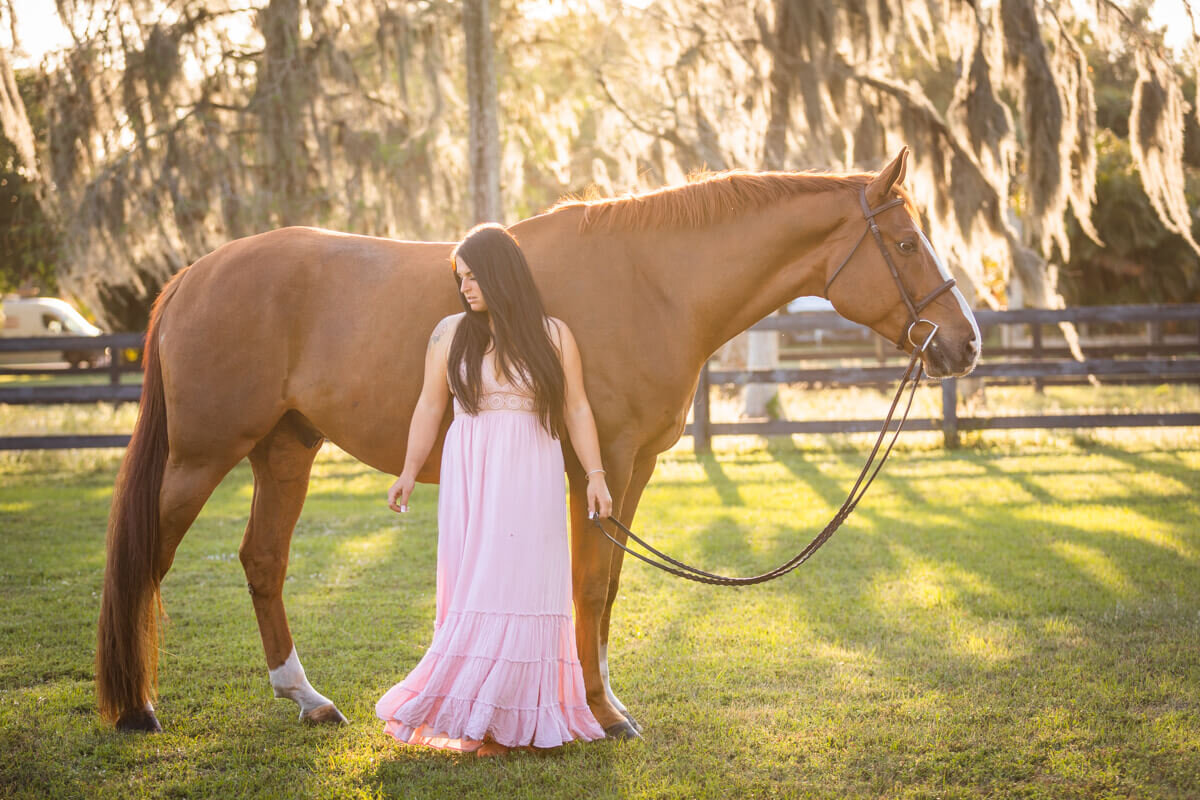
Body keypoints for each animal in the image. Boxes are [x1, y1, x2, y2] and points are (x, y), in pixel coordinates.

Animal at [93, 146, 974, 734]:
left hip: (284, 450)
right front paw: (602, 714)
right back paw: (138, 708)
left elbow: (608, 591)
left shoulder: (630, 470)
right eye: (905, 244)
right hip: (201, 457)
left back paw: (306, 698)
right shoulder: (602, 461)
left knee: (263, 562)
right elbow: (589, 588)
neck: (654, 283)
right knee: (150, 561)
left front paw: (604, 702)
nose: (963, 345)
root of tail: (193, 275)